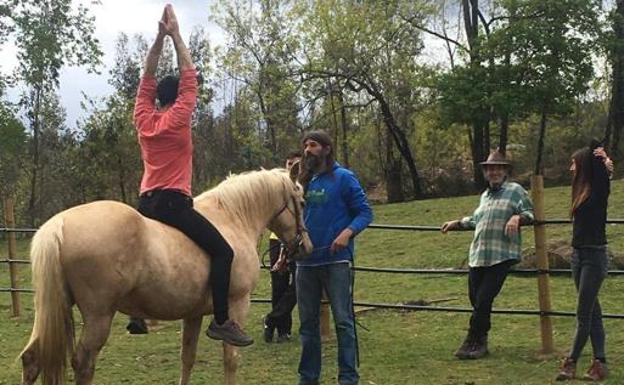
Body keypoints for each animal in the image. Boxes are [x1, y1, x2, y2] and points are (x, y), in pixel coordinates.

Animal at [19, 167, 312, 384]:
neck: (232, 218)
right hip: (98, 317)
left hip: (52, 307)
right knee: (83, 364)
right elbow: (231, 359)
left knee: (32, 358)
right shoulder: (237, 304)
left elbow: (187, 358)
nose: (306, 247)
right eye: (302, 201)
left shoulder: (193, 314)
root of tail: (59, 225)